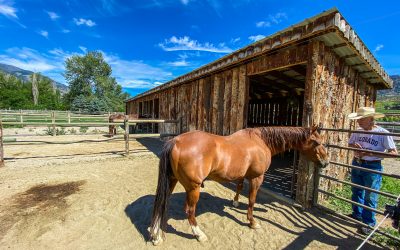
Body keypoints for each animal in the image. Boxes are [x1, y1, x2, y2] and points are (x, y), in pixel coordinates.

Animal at [147, 125, 328, 244]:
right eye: (316, 142)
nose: (325, 162)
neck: (261, 141)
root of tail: (175, 141)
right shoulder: (256, 178)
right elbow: (252, 200)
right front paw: (252, 222)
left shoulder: (243, 175)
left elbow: (240, 187)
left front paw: (235, 202)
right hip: (193, 188)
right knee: (189, 211)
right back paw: (199, 235)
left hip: (171, 181)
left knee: (161, 203)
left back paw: (155, 234)